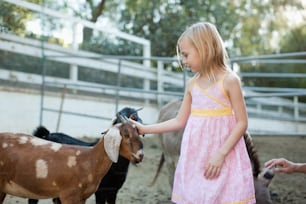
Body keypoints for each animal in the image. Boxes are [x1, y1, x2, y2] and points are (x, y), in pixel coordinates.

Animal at [0, 116, 143, 204]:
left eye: (138, 132)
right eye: (126, 135)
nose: (140, 155)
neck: (90, 159)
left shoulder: (82, 198)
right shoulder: (69, 196)